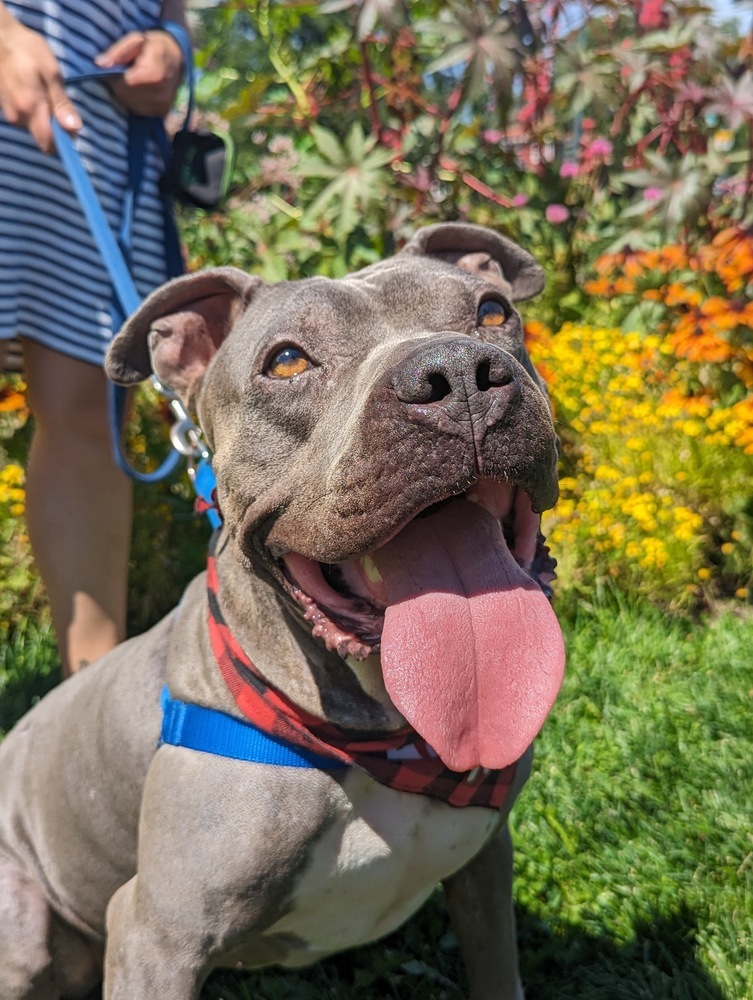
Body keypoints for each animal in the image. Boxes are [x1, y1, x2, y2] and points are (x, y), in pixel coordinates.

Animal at [0, 223, 564, 996]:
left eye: (492, 312)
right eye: (288, 361)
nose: (456, 375)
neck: (385, 741)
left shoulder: (485, 867)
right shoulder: (156, 936)